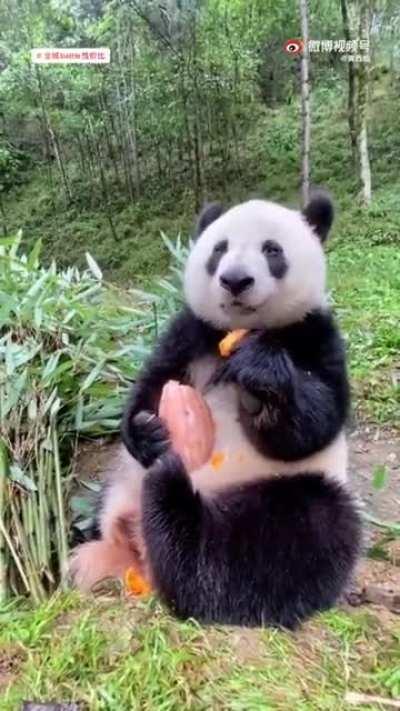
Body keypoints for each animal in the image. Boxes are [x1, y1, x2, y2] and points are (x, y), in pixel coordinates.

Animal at [70, 192, 362, 629]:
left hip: (283, 495)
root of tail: (136, 546)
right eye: (219, 249)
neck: (242, 330)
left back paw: (171, 496)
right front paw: (147, 432)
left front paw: (260, 375)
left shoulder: (316, 331)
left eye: (272, 250)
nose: (235, 280)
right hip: (118, 478)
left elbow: (316, 418)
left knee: (273, 545)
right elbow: (155, 379)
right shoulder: (192, 329)